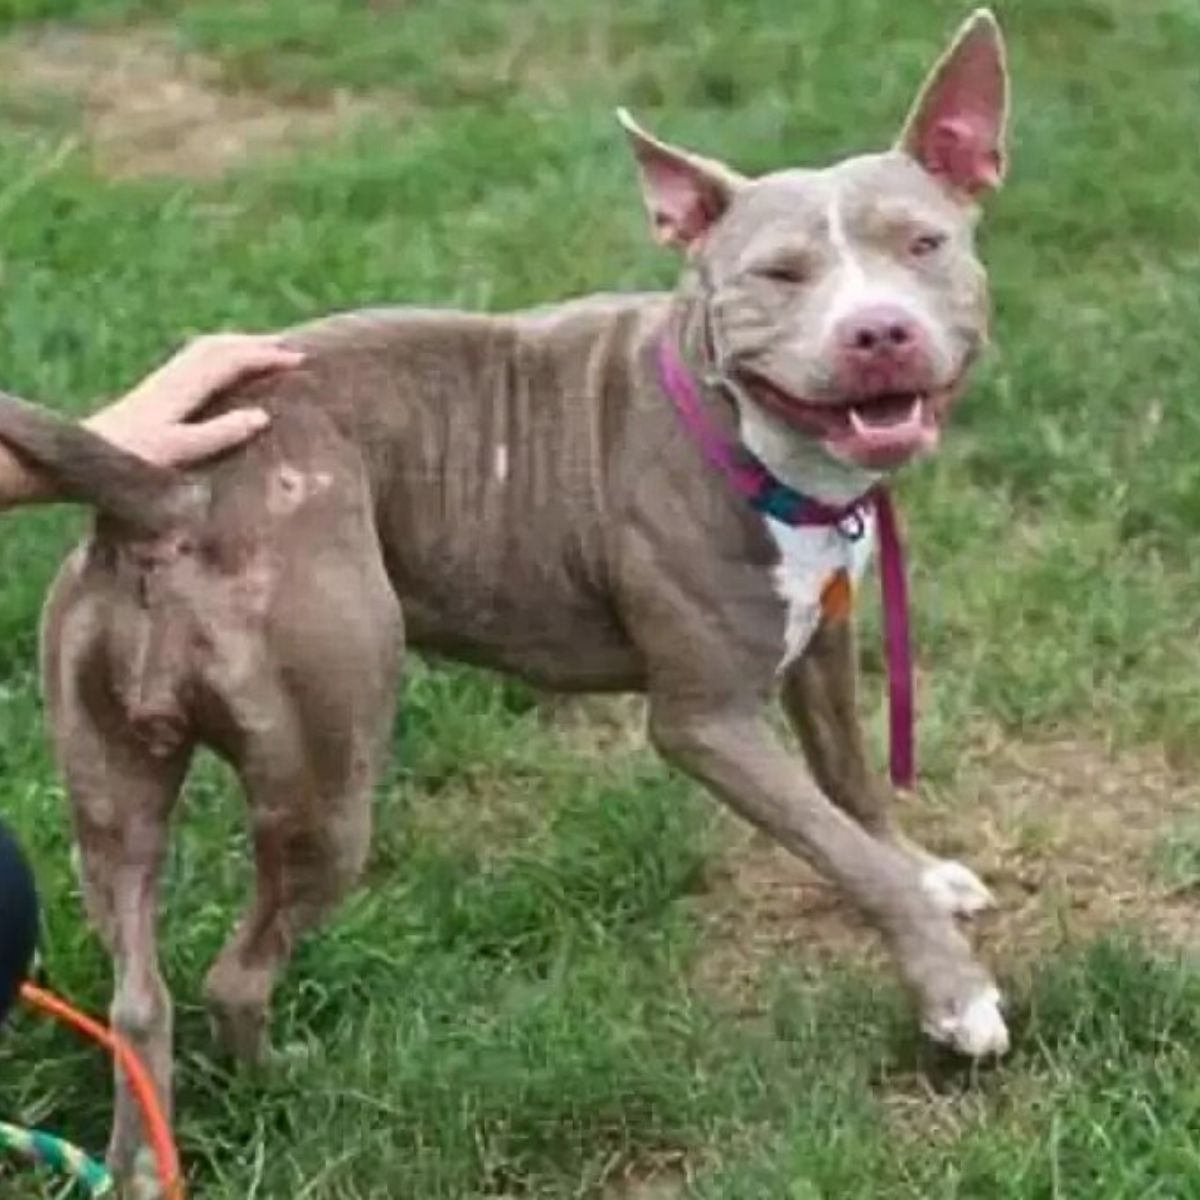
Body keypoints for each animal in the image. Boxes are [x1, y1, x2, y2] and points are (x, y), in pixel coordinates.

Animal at [0, 9, 1012, 1190]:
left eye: (923, 245)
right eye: (779, 273)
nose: (879, 331)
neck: (749, 433)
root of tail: (166, 487)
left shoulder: (820, 651)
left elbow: (854, 790)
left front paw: (926, 873)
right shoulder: (705, 721)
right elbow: (840, 845)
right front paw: (954, 992)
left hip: (111, 792)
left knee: (140, 996)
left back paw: (151, 1157)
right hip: (326, 783)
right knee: (234, 973)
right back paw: (291, 1081)